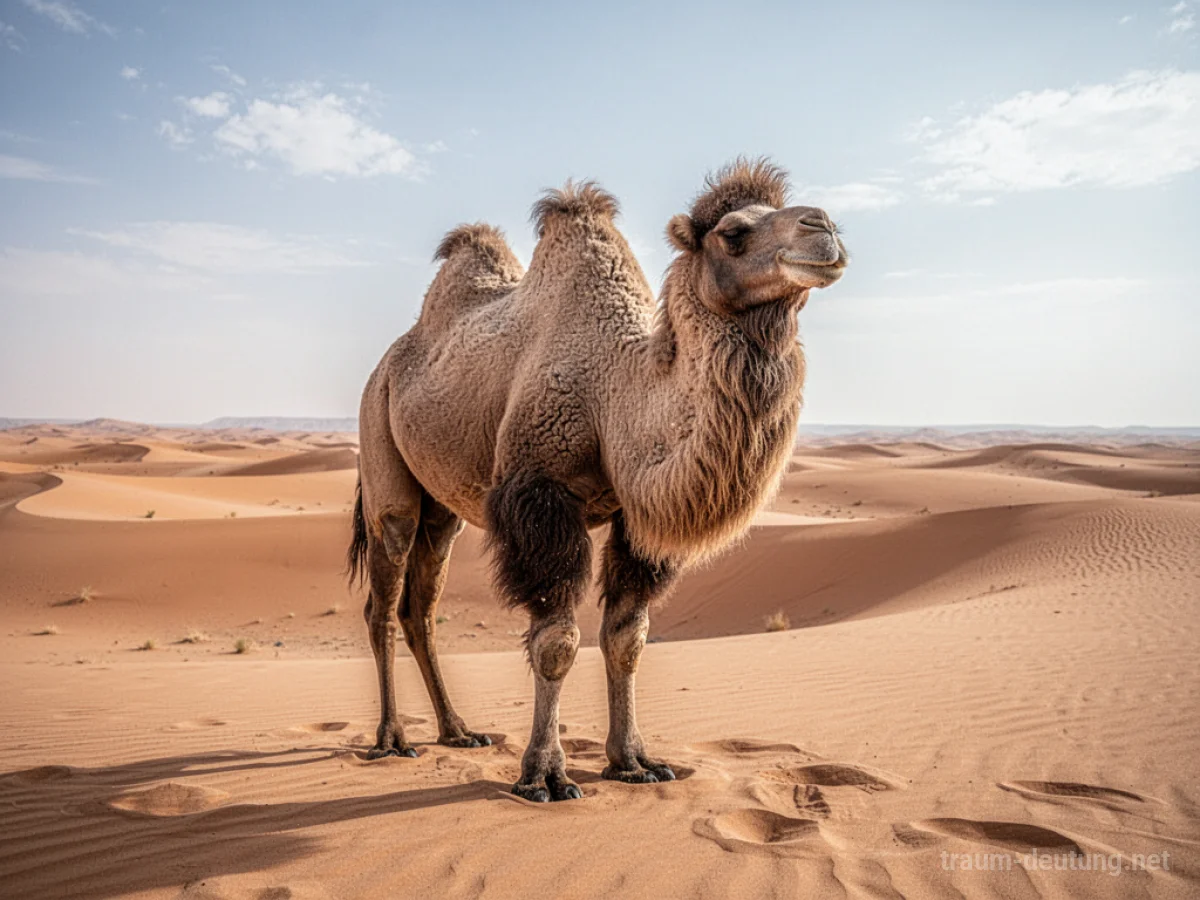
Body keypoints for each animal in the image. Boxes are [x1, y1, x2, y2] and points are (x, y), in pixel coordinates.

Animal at [348, 158, 848, 801]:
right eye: (733, 232)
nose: (824, 227)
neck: (616, 394)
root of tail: (388, 362)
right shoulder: (540, 496)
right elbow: (557, 643)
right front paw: (544, 775)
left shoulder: (636, 520)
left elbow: (626, 640)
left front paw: (633, 762)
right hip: (382, 457)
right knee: (383, 600)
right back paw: (392, 739)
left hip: (444, 508)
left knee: (421, 608)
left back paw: (458, 731)